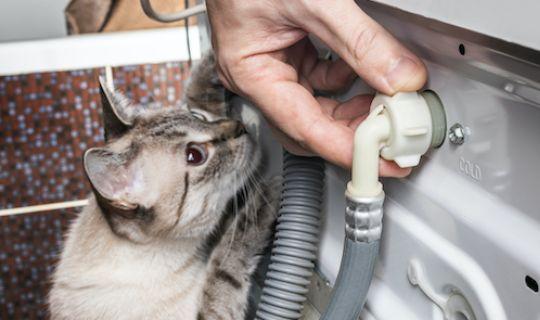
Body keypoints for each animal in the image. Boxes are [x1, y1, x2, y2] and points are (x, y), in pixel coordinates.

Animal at [47, 53, 278, 318]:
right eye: (195, 155)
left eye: (198, 117)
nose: (241, 127)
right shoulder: (211, 311)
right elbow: (227, 259)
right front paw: (271, 190)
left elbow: (197, 90)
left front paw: (213, 59)